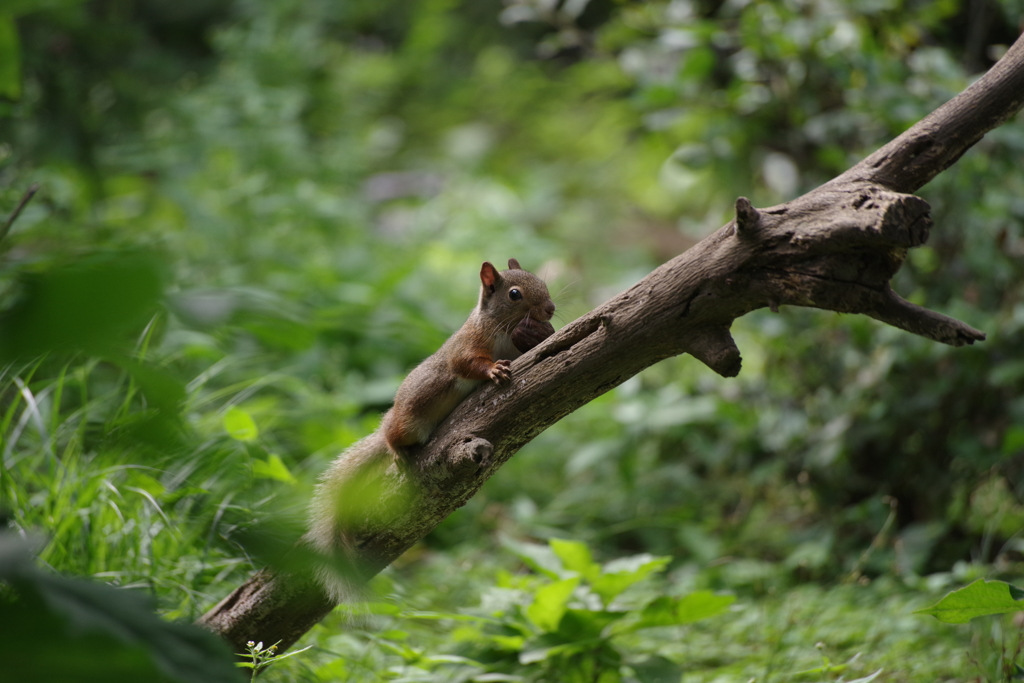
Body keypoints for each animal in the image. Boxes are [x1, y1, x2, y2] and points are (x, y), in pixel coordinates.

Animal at [305, 259, 557, 602]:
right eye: (515, 294)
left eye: (541, 282)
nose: (550, 309)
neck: (502, 330)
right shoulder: (467, 346)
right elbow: (467, 364)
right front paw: (493, 370)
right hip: (410, 422)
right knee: (392, 436)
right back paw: (397, 451)